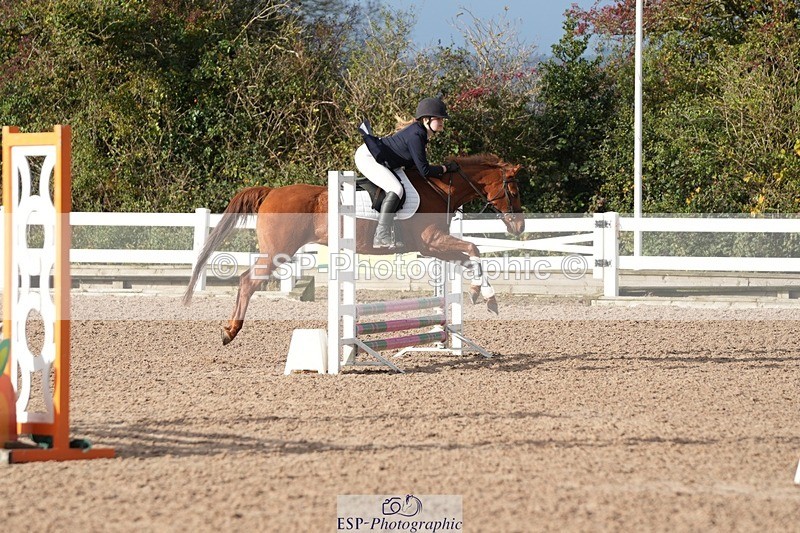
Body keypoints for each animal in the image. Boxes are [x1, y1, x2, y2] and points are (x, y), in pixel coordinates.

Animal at [183, 153, 525, 345]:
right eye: (514, 188)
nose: (519, 228)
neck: (440, 188)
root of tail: (271, 192)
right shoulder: (431, 241)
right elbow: (474, 248)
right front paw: (489, 297)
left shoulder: (433, 248)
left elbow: (469, 255)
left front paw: (480, 293)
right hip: (278, 252)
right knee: (247, 282)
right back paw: (230, 331)